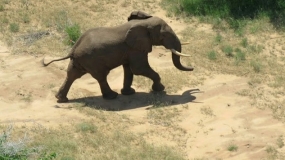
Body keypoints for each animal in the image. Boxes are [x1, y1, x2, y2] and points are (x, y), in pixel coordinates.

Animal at [42, 10, 193, 103]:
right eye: (164, 35)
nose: (192, 68)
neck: (142, 23)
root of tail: (73, 49)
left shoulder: (130, 49)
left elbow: (129, 69)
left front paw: (129, 93)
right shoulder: (135, 48)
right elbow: (139, 68)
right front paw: (160, 89)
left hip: (80, 61)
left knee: (72, 75)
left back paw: (61, 99)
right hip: (92, 60)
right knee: (101, 77)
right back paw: (112, 96)